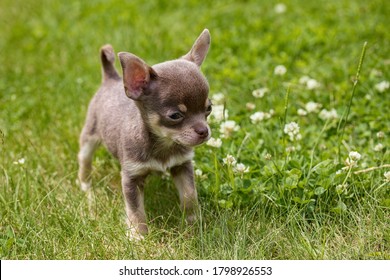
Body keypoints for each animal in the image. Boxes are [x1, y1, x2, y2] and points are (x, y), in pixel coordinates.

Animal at [78, 29, 212, 240]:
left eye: (209, 108)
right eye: (175, 116)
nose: (204, 131)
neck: (163, 144)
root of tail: (111, 78)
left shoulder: (182, 166)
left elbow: (190, 195)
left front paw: (193, 222)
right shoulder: (131, 178)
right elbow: (136, 210)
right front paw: (138, 236)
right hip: (90, 136)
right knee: (84, 159)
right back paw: (85, 184)